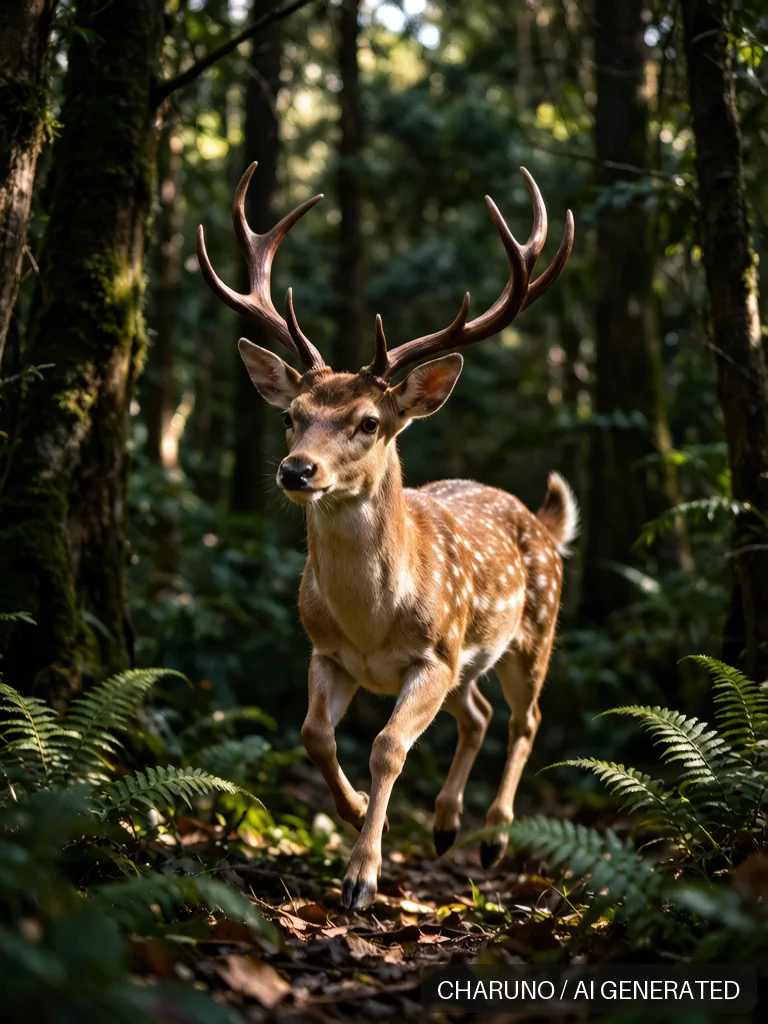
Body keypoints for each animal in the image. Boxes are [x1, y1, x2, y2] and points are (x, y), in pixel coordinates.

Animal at [198, 163, 576, 910]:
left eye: (369, 421)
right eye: (291, 415)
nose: (296, 470)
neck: (371, 623)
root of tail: (544, 522)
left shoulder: (433, 654)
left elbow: (387, 747)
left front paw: (362, 876)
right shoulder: (326, 651)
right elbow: (315, 735)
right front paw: (348, 813)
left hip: (531, 630)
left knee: (525, 720)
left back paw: (492, 836)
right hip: (468, 660)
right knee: (478, 714)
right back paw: (445, 825)